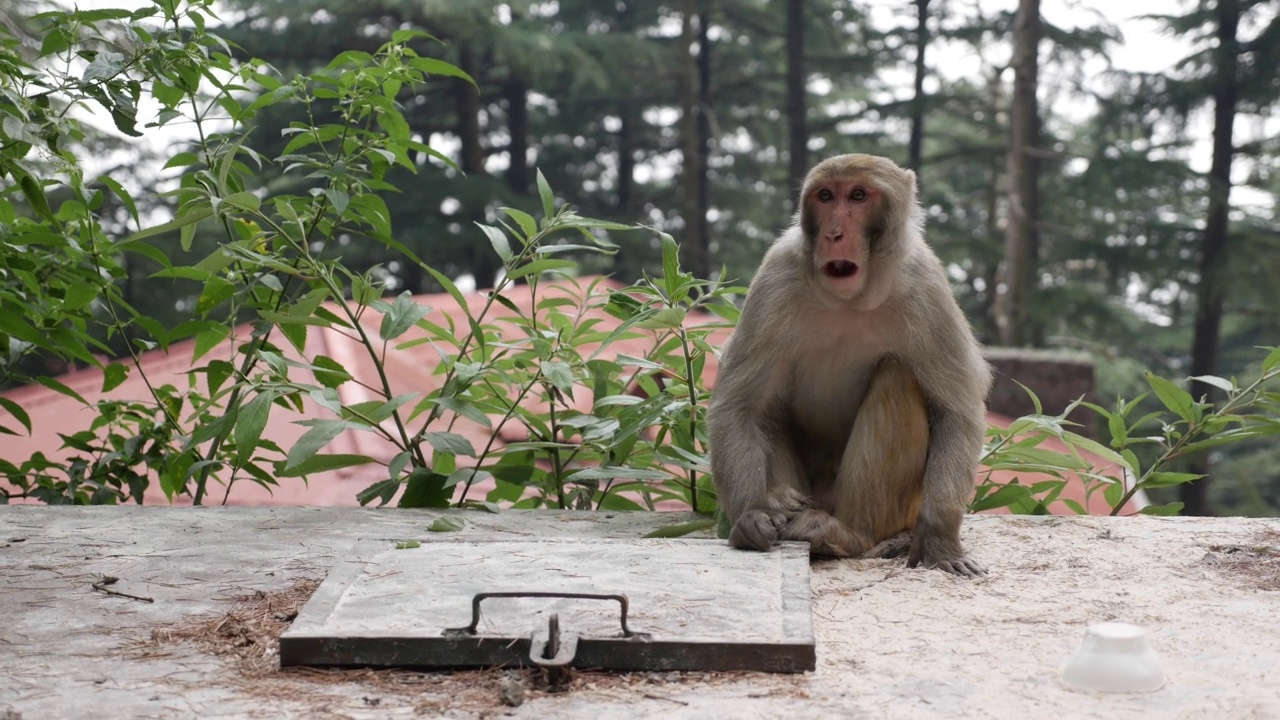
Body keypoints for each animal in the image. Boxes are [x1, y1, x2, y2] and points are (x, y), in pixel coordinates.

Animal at [706, 154, 993, 573]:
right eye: (826, 196)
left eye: (858, 195)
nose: (835, 234)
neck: (848, 301)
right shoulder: (775, 276)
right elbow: (739, 406)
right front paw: (752, 516)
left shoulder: (927, 287)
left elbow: (957, 412)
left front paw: (940, 540)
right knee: (768, 409)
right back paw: (783, 505)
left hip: (897, 508)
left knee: (895, 375)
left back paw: (845, 535)